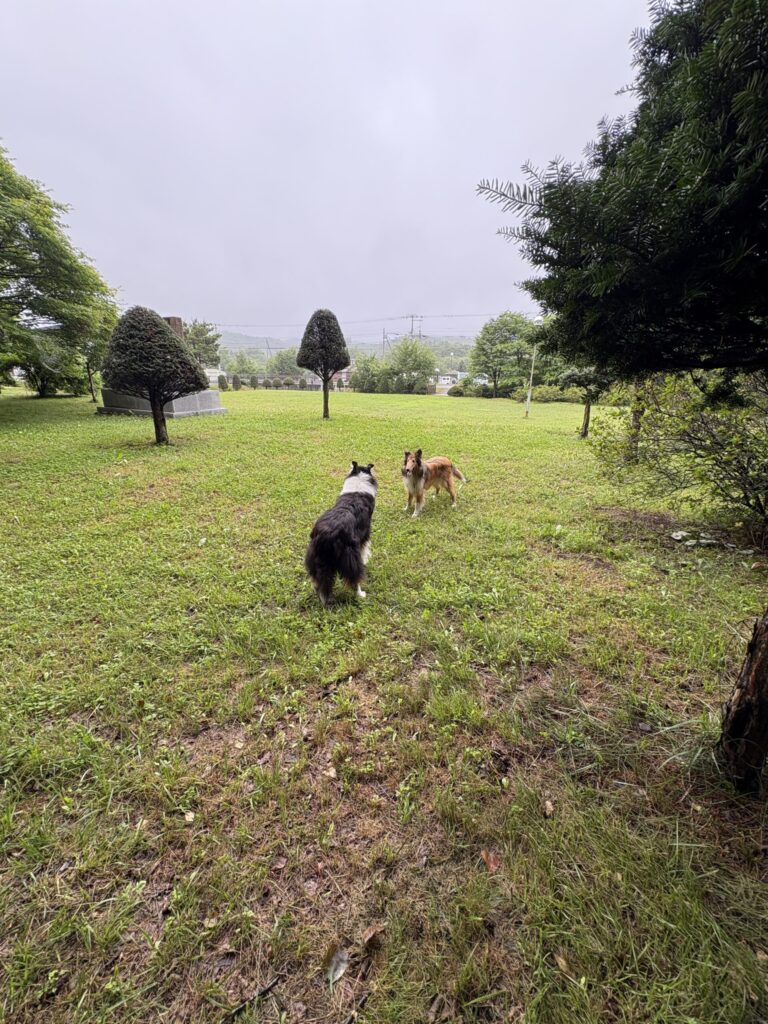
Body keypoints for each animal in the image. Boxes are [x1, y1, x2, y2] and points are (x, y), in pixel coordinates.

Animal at [305, 461, 377, 605]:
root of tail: (327, 533)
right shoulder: (364, 536)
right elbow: (365, 550)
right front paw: (365, 560)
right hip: (350, 556)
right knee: (354, 578)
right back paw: (361, 594)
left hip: (316, 557)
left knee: (317, 580)